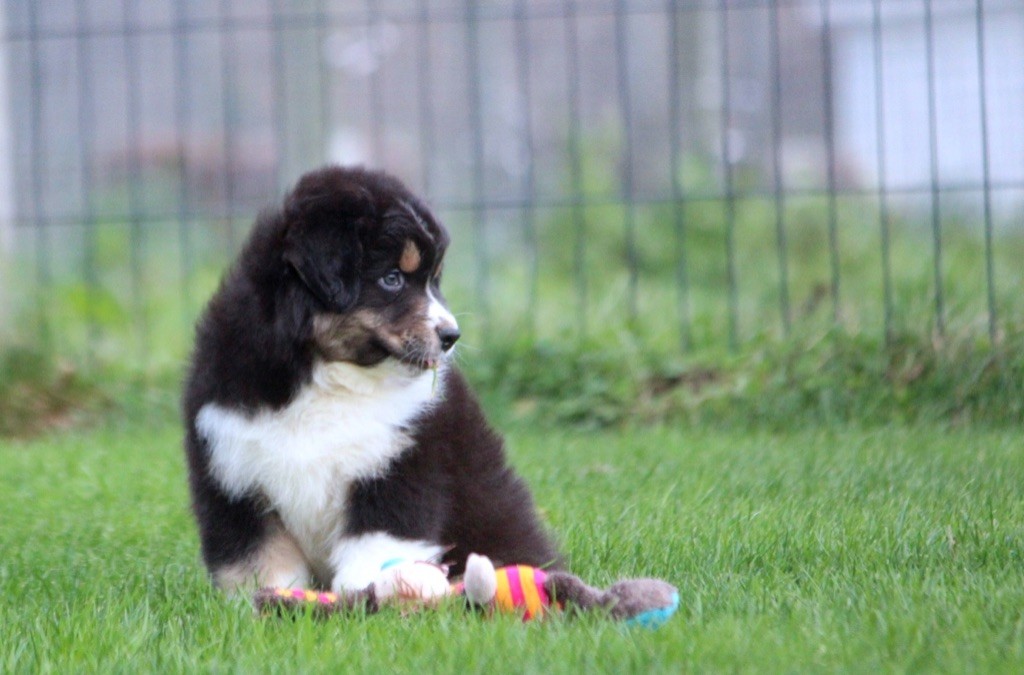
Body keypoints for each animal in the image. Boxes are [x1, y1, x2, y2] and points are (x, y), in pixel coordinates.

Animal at [183, 166, 560, 594]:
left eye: (433, 280)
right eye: (392, 278)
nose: (452, 335)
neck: (329, 373)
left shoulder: (399, 465)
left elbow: (377, 545)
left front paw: (375, 592)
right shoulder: (233, 471)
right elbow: (259, 558)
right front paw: (264, 598)